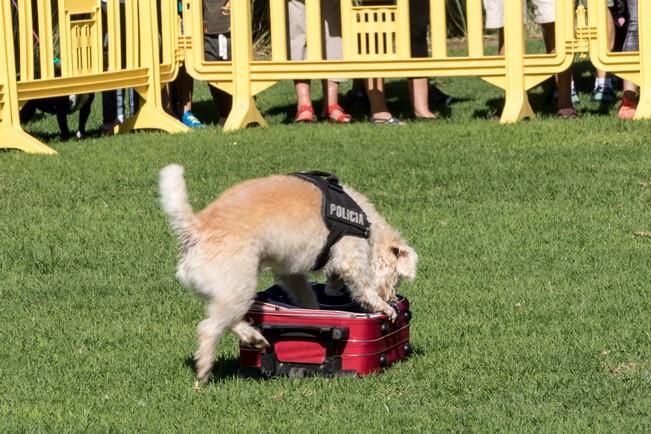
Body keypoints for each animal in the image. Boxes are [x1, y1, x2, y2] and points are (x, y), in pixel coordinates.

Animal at [160, 165, 420, 384]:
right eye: (396, 279)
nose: (391, 297)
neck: (369, 227)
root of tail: (195, 230)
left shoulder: (291, 273)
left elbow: (307, 297)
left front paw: (314, 314)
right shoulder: (350, 257)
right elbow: (362, 286)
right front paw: (383, 307)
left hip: (226, 290)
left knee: (225, 318)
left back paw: (253, 337)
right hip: (239, 284)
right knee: (209, 327)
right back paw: (204, 369)